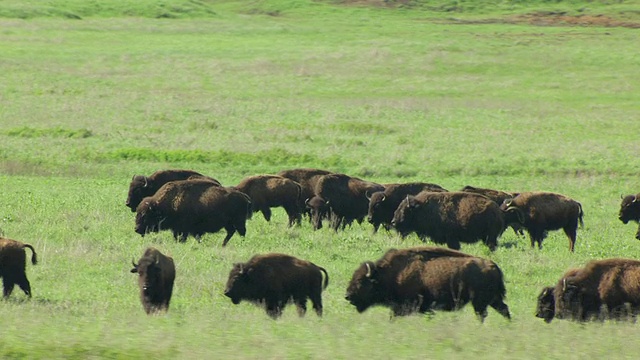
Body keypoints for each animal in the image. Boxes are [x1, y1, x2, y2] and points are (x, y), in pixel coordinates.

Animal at [342, 248, 512, 320]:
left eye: (360, 280)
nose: (347, 296)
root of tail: (493, 266)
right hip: (493, 300)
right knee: (504, 309)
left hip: (480, 302)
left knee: (483, 314)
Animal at [390, 191, 520, 250]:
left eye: (405, 211)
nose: (393, 222)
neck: (422, 207)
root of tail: (499, 211)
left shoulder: (451, 239)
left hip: (490, 237)